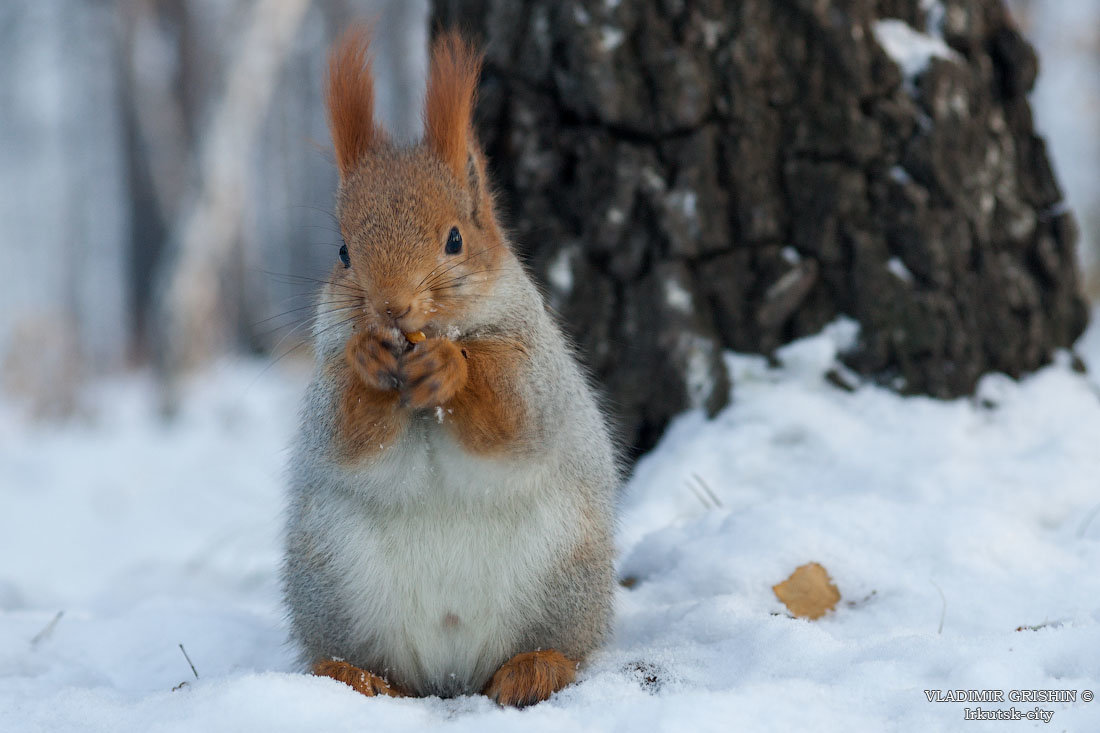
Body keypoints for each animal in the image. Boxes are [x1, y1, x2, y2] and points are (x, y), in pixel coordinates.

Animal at [279, 28, 624, 708]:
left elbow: (516, 415)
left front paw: (451, 367)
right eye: (343, 251)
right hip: (330, 580)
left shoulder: (535, 363)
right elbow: (342, 434)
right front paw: (367, 360)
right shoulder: (323, 391)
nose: (392, 308)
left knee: (559, 649)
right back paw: (356, 678)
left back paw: (533, 668)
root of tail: (452, 676)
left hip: (567, 571)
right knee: (380, 668)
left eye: (456, 240)